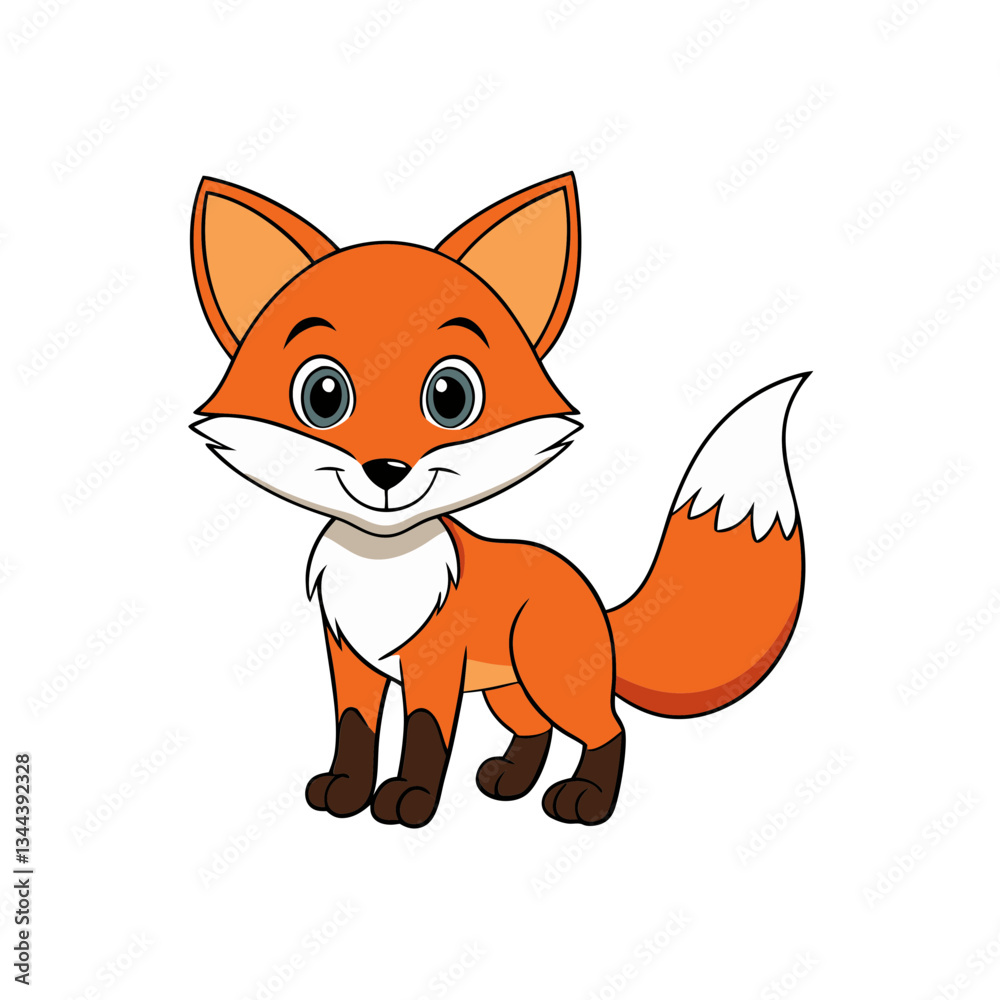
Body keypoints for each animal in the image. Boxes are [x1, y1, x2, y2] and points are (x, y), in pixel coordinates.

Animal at [189, 173, 806, 828]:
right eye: (323, 395)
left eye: (450, 396)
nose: (386, 471)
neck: (384, 570)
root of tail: (591, 595)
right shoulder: (349, 657)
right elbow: (354, 730)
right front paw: (346, 791)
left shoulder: (433, 661)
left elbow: (425, 735)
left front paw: (410, 800)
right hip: (509, 692)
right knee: (536, 730)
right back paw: (510, 780)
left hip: (551, 678)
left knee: (607, 729)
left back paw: (585, 800)